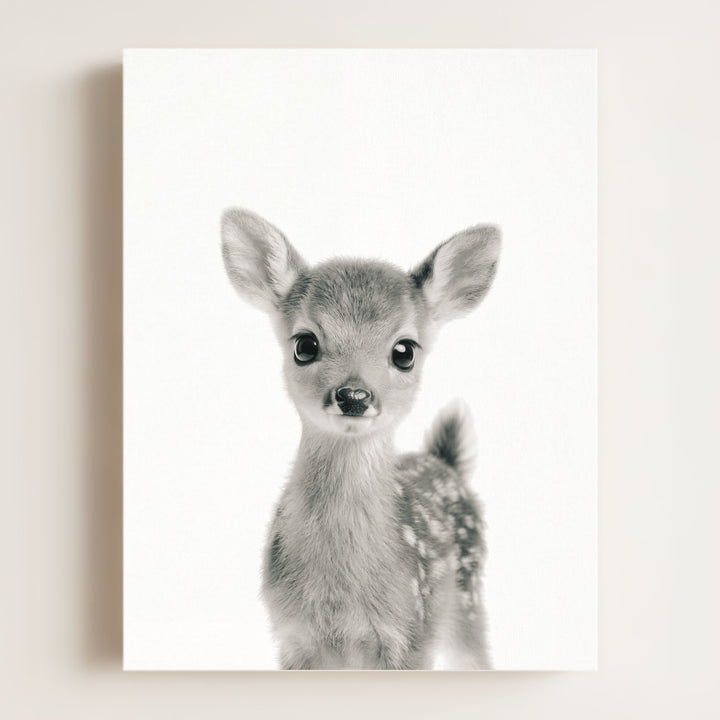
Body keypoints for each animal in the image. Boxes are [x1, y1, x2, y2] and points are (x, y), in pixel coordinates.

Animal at [221, 208, 501, 669]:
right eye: (305, 344)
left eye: (404, 351)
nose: (354, 396)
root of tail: (445, 462)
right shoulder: (292, 637)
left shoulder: (412, 633)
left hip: (468, 600)